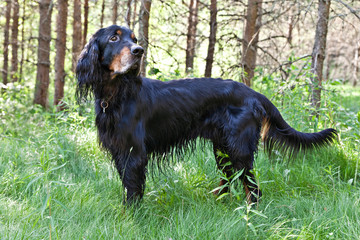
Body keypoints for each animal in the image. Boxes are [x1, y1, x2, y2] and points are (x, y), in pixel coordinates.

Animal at [76, 25, 338, 203]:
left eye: (134, 39)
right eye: (114, 37)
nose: (139, 51)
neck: (118, 95)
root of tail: (252, 92)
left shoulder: (134, 152)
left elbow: (132, 189)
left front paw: (132, 215)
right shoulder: (119, 150)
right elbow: (127, 185)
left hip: (239, 148)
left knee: (251, 185)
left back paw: (251, 213)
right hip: (222, 146)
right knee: (228, 178)